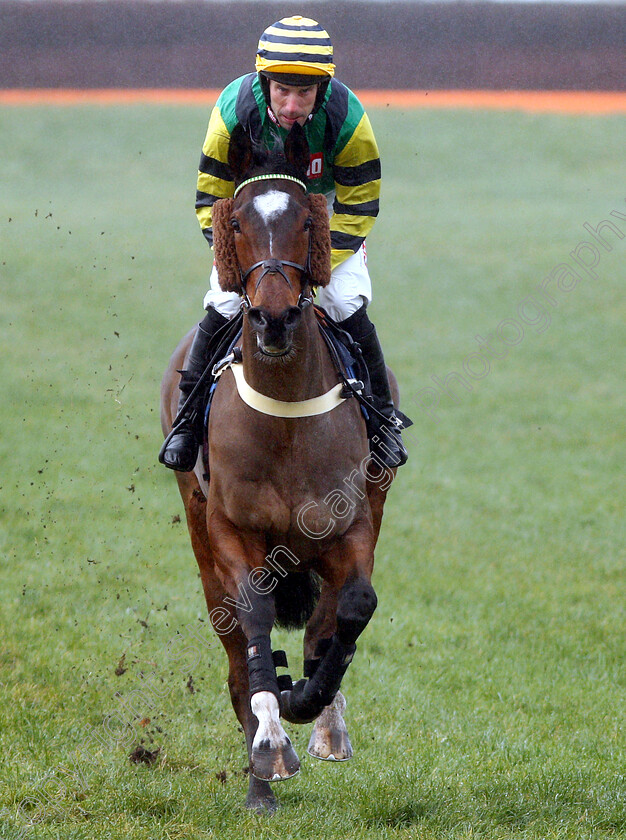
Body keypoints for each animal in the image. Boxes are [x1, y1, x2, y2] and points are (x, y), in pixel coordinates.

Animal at [160, 121, 400, 812]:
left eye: (304, 220)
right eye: (237, 222)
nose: (272, 317)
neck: (287, 416)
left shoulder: (351, 521)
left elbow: (352, 608)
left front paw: (310, 701)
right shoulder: (231, 529)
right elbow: (256, 622)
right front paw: (270, 741)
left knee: (325, 620)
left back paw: (323, 719)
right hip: (200, 537)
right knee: (235, 652)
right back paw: (260, 777)